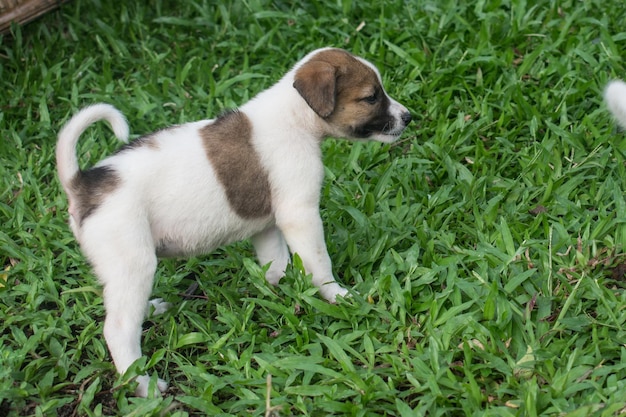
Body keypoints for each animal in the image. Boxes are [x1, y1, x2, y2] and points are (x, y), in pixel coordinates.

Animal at [56, 47, 412, 394]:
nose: (409, 117)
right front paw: (336, 295)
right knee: (118, 329)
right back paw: (144, 386)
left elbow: (277, 263)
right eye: (371, 97)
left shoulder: (268, 225)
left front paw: (281, 291)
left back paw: (151, 310)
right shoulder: (300, 214)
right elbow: (319, 264)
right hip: (133, 262)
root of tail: (83, 184)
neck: (294, 118)